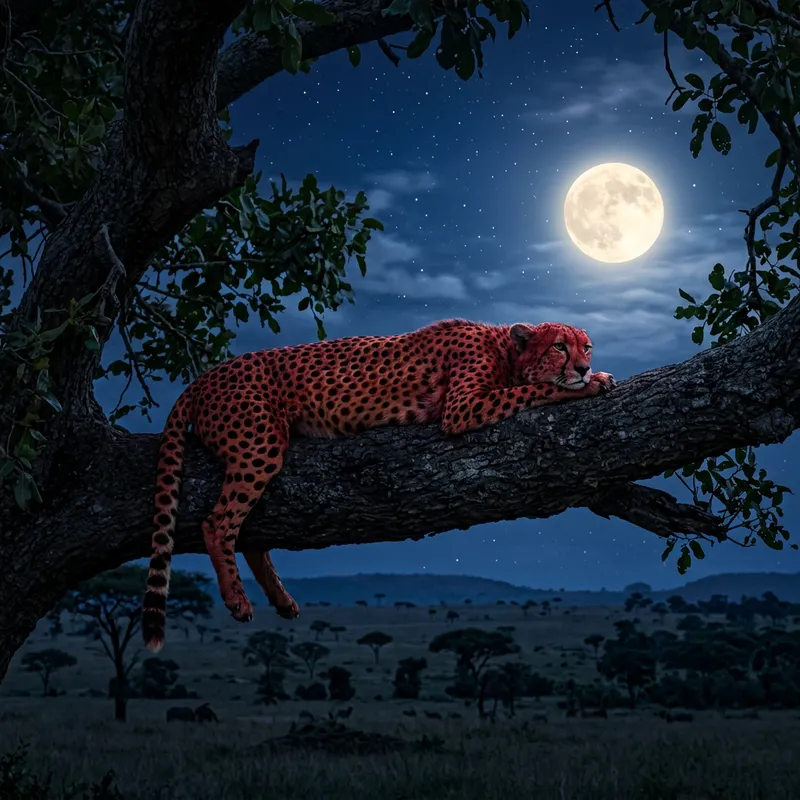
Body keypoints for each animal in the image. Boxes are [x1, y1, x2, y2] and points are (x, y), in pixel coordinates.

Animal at [141, 318, 614, 651]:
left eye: (586, 345)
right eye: (560, 346)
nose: (584, 365)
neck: (505, 350)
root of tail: (204, 377)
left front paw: (590, 378)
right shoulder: (463, 408)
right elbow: (535, 391)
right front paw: (590, 384)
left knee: (250, 533)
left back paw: (280, 599)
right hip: (260, 443)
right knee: (218, 522)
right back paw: (238, 601)